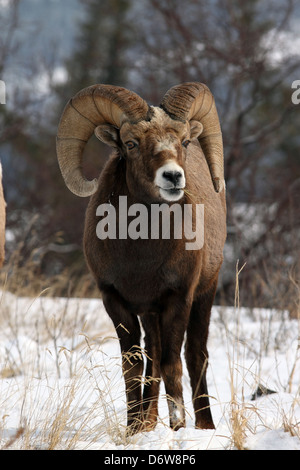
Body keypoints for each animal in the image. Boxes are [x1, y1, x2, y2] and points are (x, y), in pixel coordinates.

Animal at [56, 82, 226, 436]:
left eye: (183, 141)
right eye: (131, 143)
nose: (173, 177)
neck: (141, 258)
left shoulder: (178, 298)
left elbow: (173, 363)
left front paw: (178, 427)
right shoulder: (116, 301)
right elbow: (133, 366)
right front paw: (133, 430)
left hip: (205, 294)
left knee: (195, 355)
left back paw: (205, 425)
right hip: (150, 314)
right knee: (153, 355)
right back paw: (149, 423)